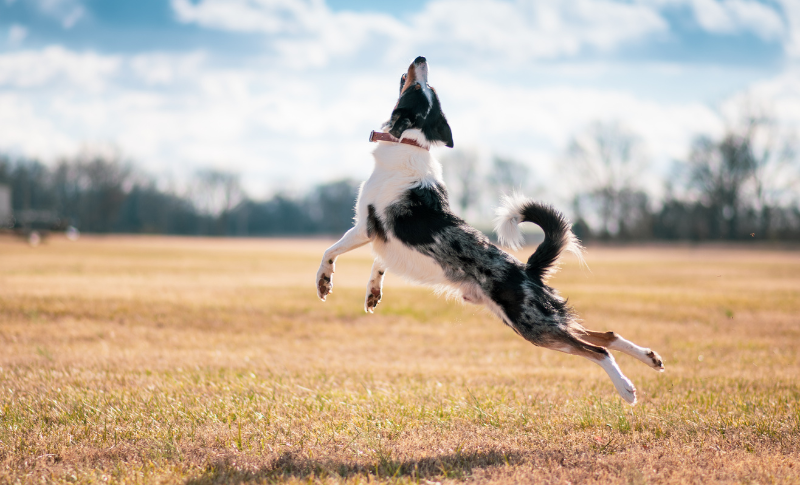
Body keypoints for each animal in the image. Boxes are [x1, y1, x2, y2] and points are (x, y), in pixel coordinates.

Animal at [314, 55, 664, 404]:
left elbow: (330, 251)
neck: (410, 139)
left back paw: (626, 388)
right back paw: (650, 358)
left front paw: (324, 282)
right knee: (605, 334)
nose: (421, 58)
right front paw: (373, 292)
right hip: (537, 320)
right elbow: (379, 263)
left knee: (597, 350)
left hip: (533, 325)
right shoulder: (387, 241)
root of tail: (528, 270)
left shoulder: (365, 226)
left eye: (419, 87)